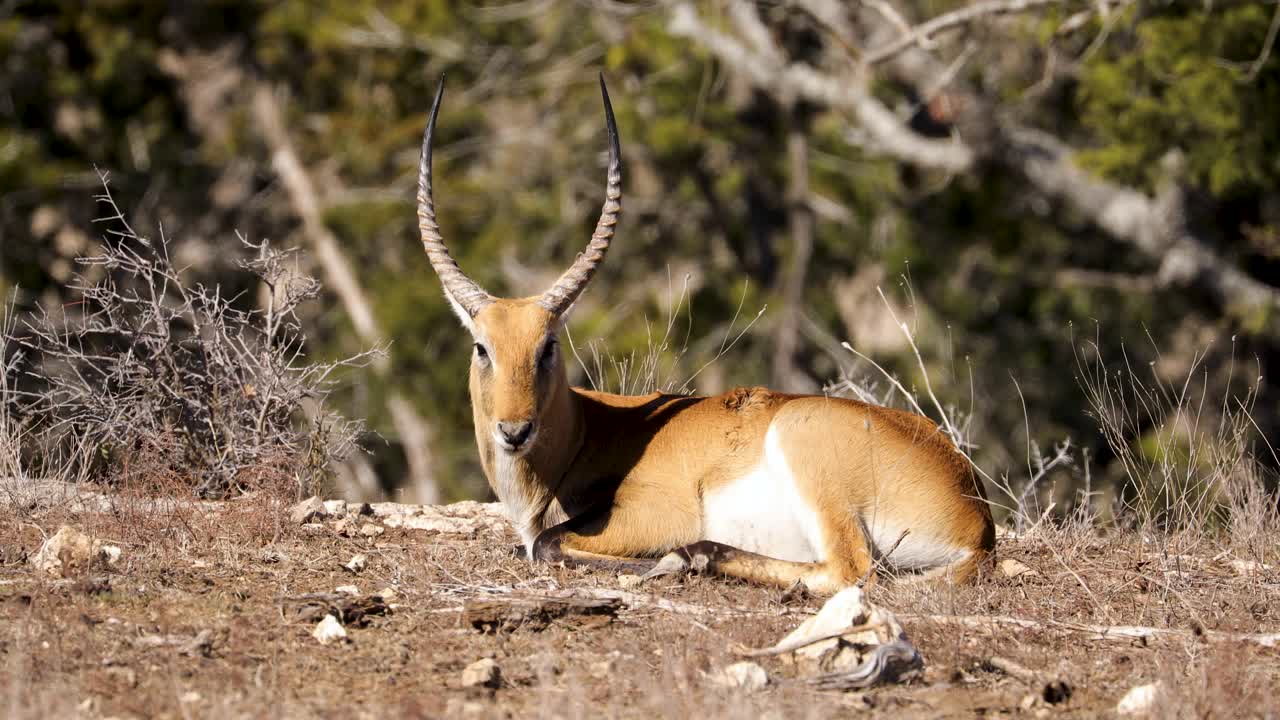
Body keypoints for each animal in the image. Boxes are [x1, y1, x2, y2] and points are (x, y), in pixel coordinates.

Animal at [415, 75, 994, 593]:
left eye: (548, 346)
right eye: (482, 347)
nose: (514, 431)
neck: (587, 434)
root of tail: (975, 517)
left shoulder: (652, 510)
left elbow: (544, 544)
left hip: (810, 462)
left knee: (851, 572)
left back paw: (682, 558)